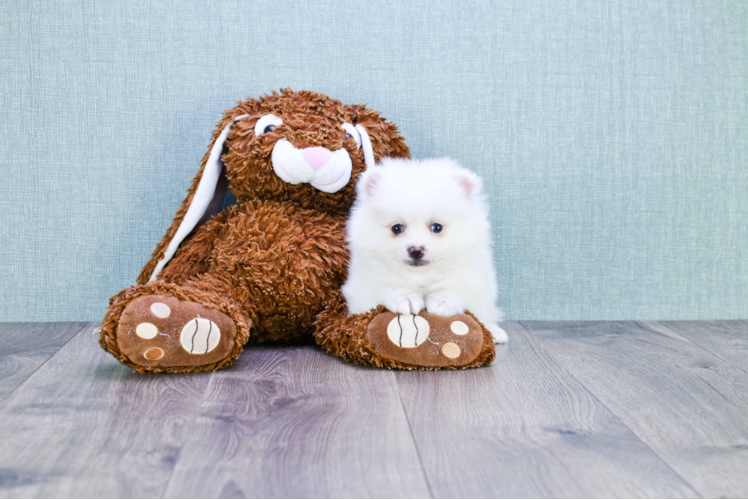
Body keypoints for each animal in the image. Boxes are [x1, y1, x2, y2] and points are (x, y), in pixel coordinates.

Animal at [340, 157, 508, 344]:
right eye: (397, 228)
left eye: (437, 227)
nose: (416, 250)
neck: (420, 276)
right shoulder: (364, 282)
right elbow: (387, 283)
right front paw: (405, 297)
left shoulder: (472, 273)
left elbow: (456, 284)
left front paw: (442, 300)